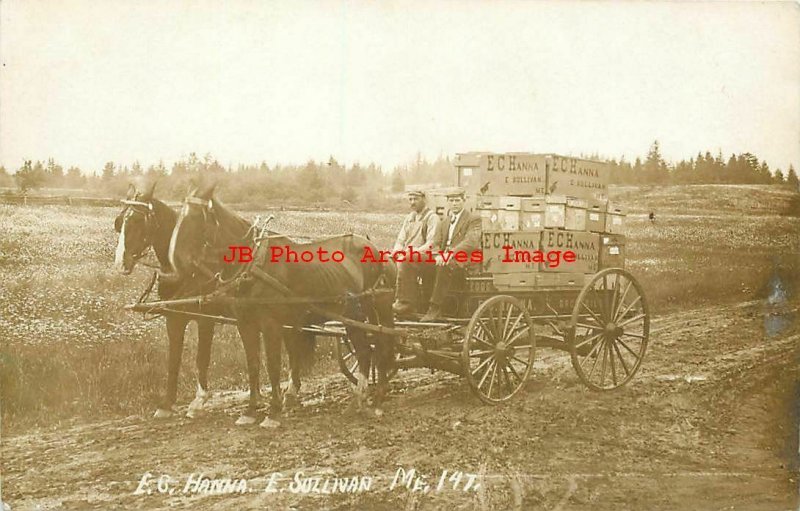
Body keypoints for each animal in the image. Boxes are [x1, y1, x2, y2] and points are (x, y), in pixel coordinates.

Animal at [113, 184, 219, 420]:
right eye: (119, 221)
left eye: (137, 220)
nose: (120, 263)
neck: (186, 270)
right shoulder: (174, 318)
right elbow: (174, 359)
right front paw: (166, 403)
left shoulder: (206, 318)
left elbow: (202, 357)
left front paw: (198, 401)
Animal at [169, 184, 396, 428]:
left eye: (195, 217)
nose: (175, 262)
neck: (255, 267)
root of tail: (373, 247)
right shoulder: (245, 324)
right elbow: (253, 365)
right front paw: (250, 411)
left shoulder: (272, 325)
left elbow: (273, 365)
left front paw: (273, 413)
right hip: (358, 316)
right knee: (372, 348)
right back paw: (369, 396)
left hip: (366, 313)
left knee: (374, 348)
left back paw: (371, 399)